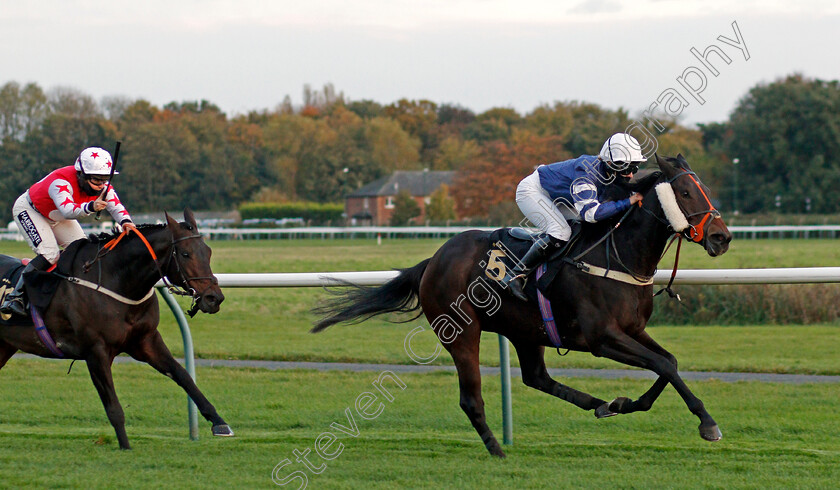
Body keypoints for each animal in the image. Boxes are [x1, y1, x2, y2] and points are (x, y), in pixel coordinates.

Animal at [0, 209, 230, 450]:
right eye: (185, 254)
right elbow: (113, 407)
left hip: (4, 345)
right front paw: (125, 446)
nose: (214, 298)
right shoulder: (96, 351)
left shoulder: (146, 341)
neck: (117, 281)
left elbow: (183, 376)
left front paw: (219, 422)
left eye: (208, 251)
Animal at [312, 155, 732, 458]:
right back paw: (497, 450)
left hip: (526, 331)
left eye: (706, 189)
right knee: (471, 398)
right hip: (462, 334)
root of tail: (433, 261)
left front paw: (628, 402)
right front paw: (708, 423)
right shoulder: (603, 338)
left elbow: (668, 363)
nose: (721, 237)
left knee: (537, 378)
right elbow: (662, 364)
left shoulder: (632, 330)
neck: (617, 255)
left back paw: (601, 404)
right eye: (686, 193)